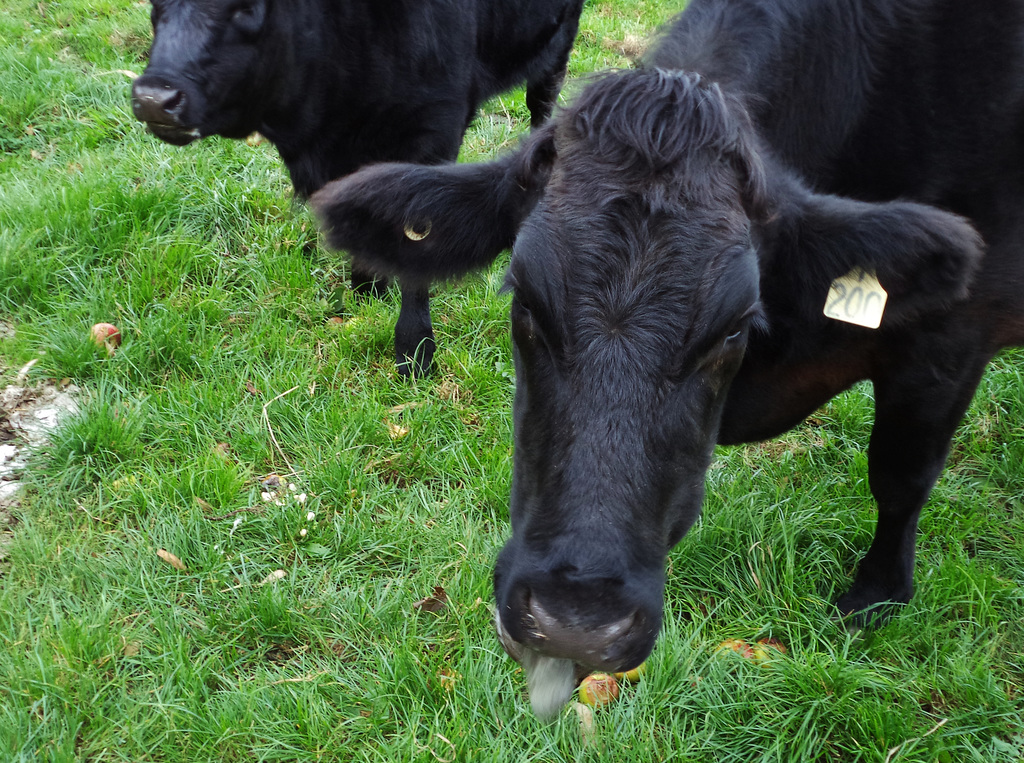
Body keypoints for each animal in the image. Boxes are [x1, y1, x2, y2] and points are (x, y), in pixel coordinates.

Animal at [130, 0, 585, 374]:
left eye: (246, 6)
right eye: (156, 2)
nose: (154, 98)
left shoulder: (435, 129)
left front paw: (415, 353)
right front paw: (367, 288)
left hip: (555, 46)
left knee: (541, 107)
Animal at [309, 0, 1024, 712]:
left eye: (735, 328)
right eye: (524, 301)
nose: (576, 625)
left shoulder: (950, 340)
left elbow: (901, 475)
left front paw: (876, 596)